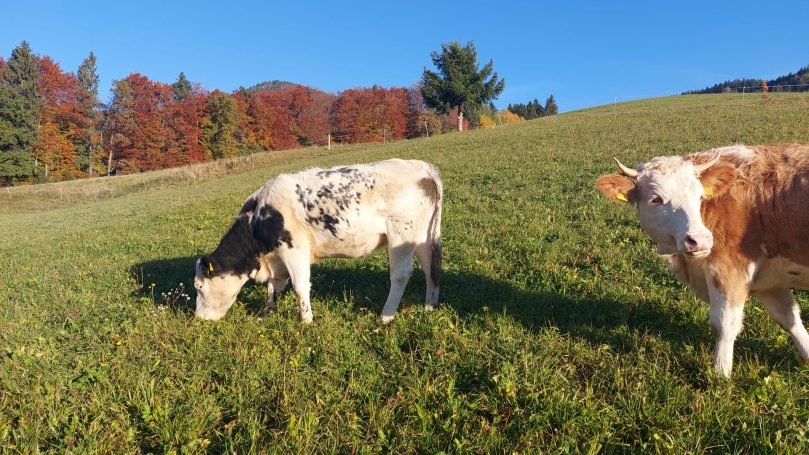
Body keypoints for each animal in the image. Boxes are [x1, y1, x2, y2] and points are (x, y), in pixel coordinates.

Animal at [194, 159, 442, 324]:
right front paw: (264, 313)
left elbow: (299, 287)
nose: (199, 317)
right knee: (431, 268)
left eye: (199, 286)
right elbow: (273, 287)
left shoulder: (293, 249)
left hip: (400, 235)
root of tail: (422, 168)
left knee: (401, 274)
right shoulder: (277, 259)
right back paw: (430, 306)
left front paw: (306, 321)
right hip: (422, 237)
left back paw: (385, 316)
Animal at [597, 144, 809, 377]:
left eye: (699, 196)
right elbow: (789, 318)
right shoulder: (769, 280)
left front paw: (720, 372)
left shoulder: (728, 270)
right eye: (655, 199)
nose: (700, 239)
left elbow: (724, 324)